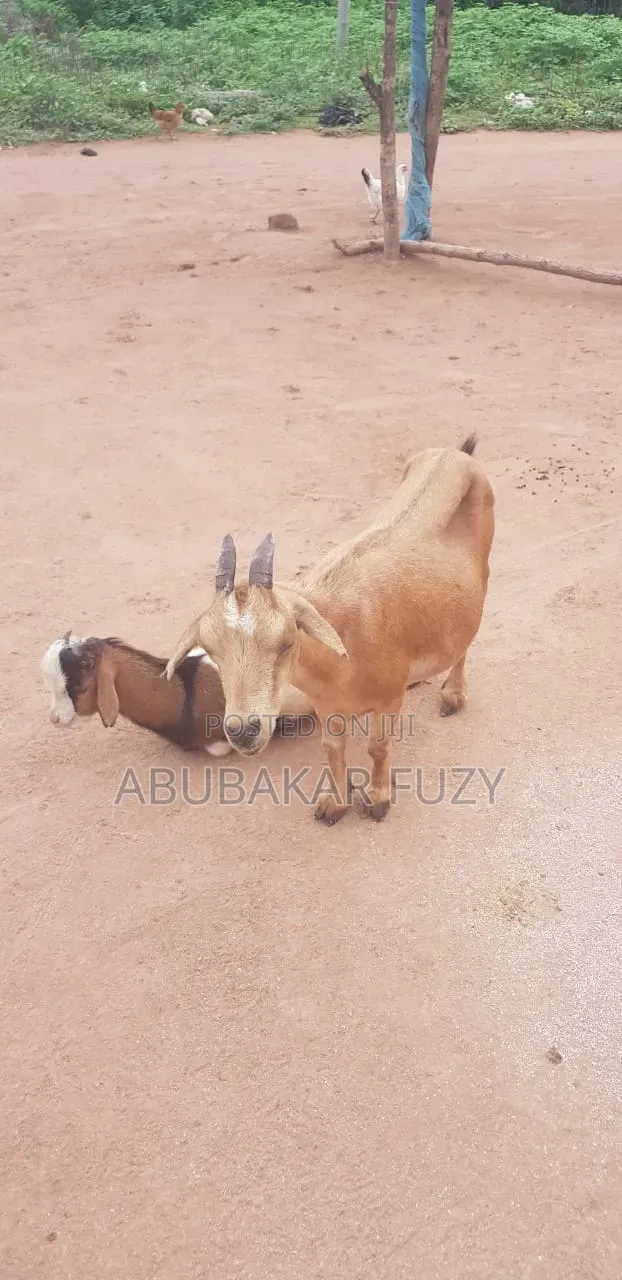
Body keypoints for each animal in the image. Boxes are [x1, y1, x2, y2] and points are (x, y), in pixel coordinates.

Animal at [163, 435, 495, 825]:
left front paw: (378, 799)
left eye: (286, 642)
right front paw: (335, 803)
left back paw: (453, 695)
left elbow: (377, 747)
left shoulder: (387, 700)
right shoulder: (326, 706)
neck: (342, 657)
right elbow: (332, 748)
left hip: (483, 574)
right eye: (212, 650)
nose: (243, 731)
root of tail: (455, 454)